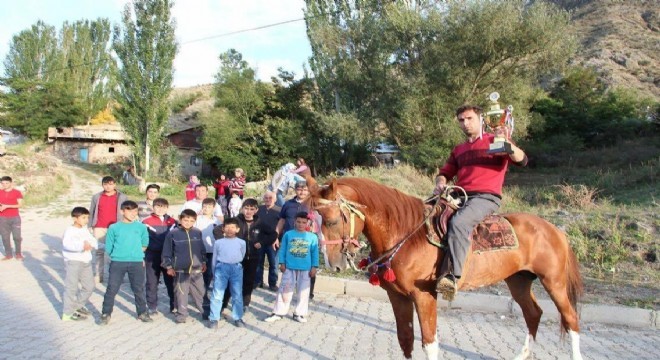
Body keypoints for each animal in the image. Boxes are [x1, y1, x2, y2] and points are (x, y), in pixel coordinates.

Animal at [310, 178, 584, 360]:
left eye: (332, 221)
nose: (333, 264)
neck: (407, 234)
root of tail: (554, 229)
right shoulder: (397, 296)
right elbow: (405, 339)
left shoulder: (424, 296)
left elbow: (430, 343)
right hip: (519, 281)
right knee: (533, 314)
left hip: (554, 282)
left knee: (571, 319)